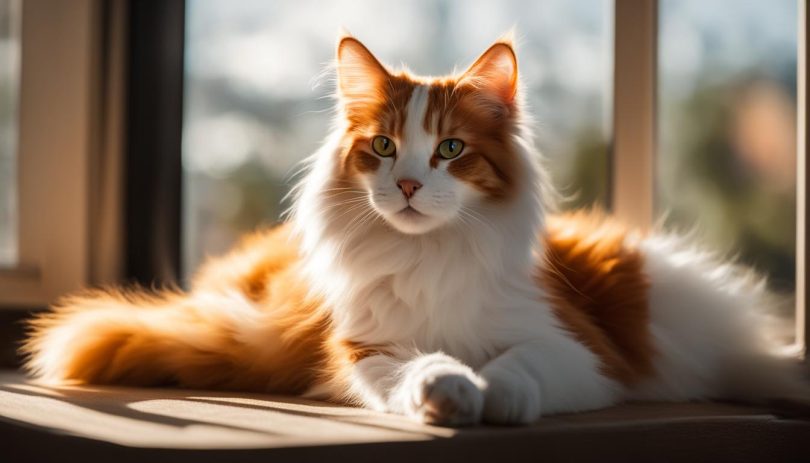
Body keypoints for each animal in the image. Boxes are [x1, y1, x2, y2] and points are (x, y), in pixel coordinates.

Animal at [22, 34, 804, 428]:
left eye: (451, 149)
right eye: (384, 147)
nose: (404, 185)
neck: (429, 257)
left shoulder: (580, 347)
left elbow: (520, 364)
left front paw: (500, 396)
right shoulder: (367, 349)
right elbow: (423, 367)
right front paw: (454, 394)